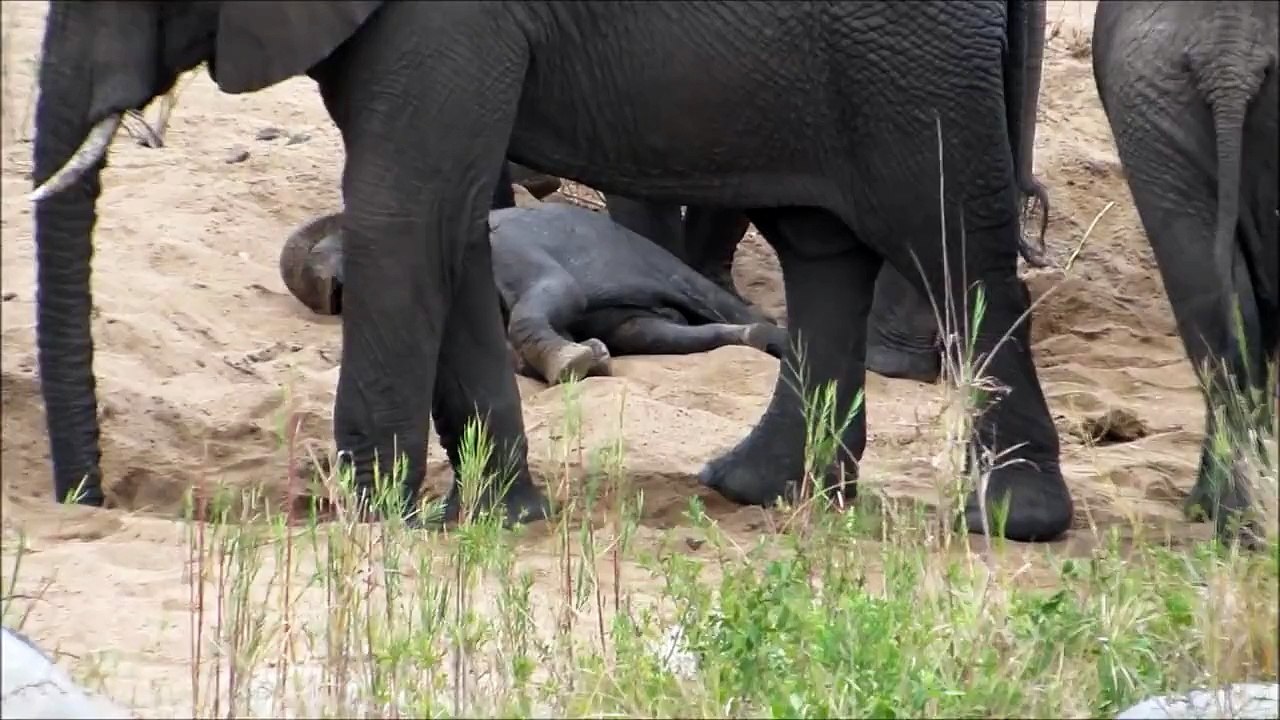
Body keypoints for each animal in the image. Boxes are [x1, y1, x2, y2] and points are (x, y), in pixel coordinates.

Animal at [279, 204, 791, 385]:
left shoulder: (503, 248)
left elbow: (559, 294)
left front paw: (572, 361)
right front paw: (586, 355)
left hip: (675, 271)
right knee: (655, 333)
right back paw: (753, 337)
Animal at [1092, 1, 1278, 545]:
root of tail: (1229, 51)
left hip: (1148, 87)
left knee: (1213, 308)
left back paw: (1233, 519)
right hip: (1152, 90)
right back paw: (1242, 522)